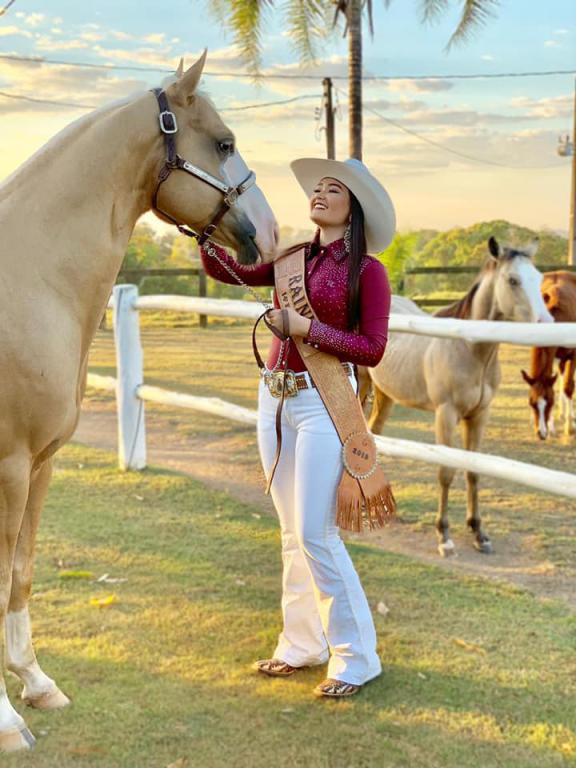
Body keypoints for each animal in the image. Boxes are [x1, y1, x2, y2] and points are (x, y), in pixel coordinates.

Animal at [0, 52, 277, 752]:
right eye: (224, 142)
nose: (271, 232)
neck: (27, 285)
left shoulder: (39, 465)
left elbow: (20, 573)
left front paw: (35, 683)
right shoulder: (8, 468)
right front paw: (5, 721)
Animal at [360, 237, 553, 558]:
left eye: (538, 278)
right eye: (512, 280)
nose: (546, 323)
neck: (467, 347)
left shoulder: (479, 415)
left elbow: (473, 472)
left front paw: (479, 533)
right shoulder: (446, 414)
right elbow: (446, 472)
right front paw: (444, 536)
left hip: (385, 394)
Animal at [521, 271, 576, 439]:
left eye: (550, 402)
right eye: (531, 403)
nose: (541, 434)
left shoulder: (573, 356)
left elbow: (568, 387)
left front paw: (569, 427)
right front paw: (551, 427)